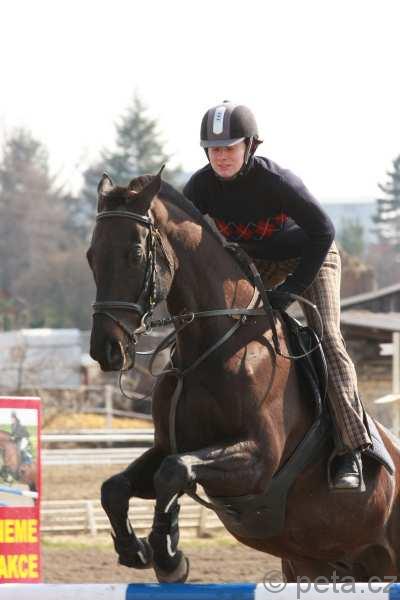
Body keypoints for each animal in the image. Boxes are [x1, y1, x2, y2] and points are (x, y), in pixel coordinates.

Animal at [88, 170, 400, 583]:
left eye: (136, 254)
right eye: (91, 256)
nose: (106, 350)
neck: (212, 346)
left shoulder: (258, 459)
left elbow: (174, 472)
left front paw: (169, 554)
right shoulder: (169, 444)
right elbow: (116, 486)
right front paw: (138, 549)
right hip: (314, 565)